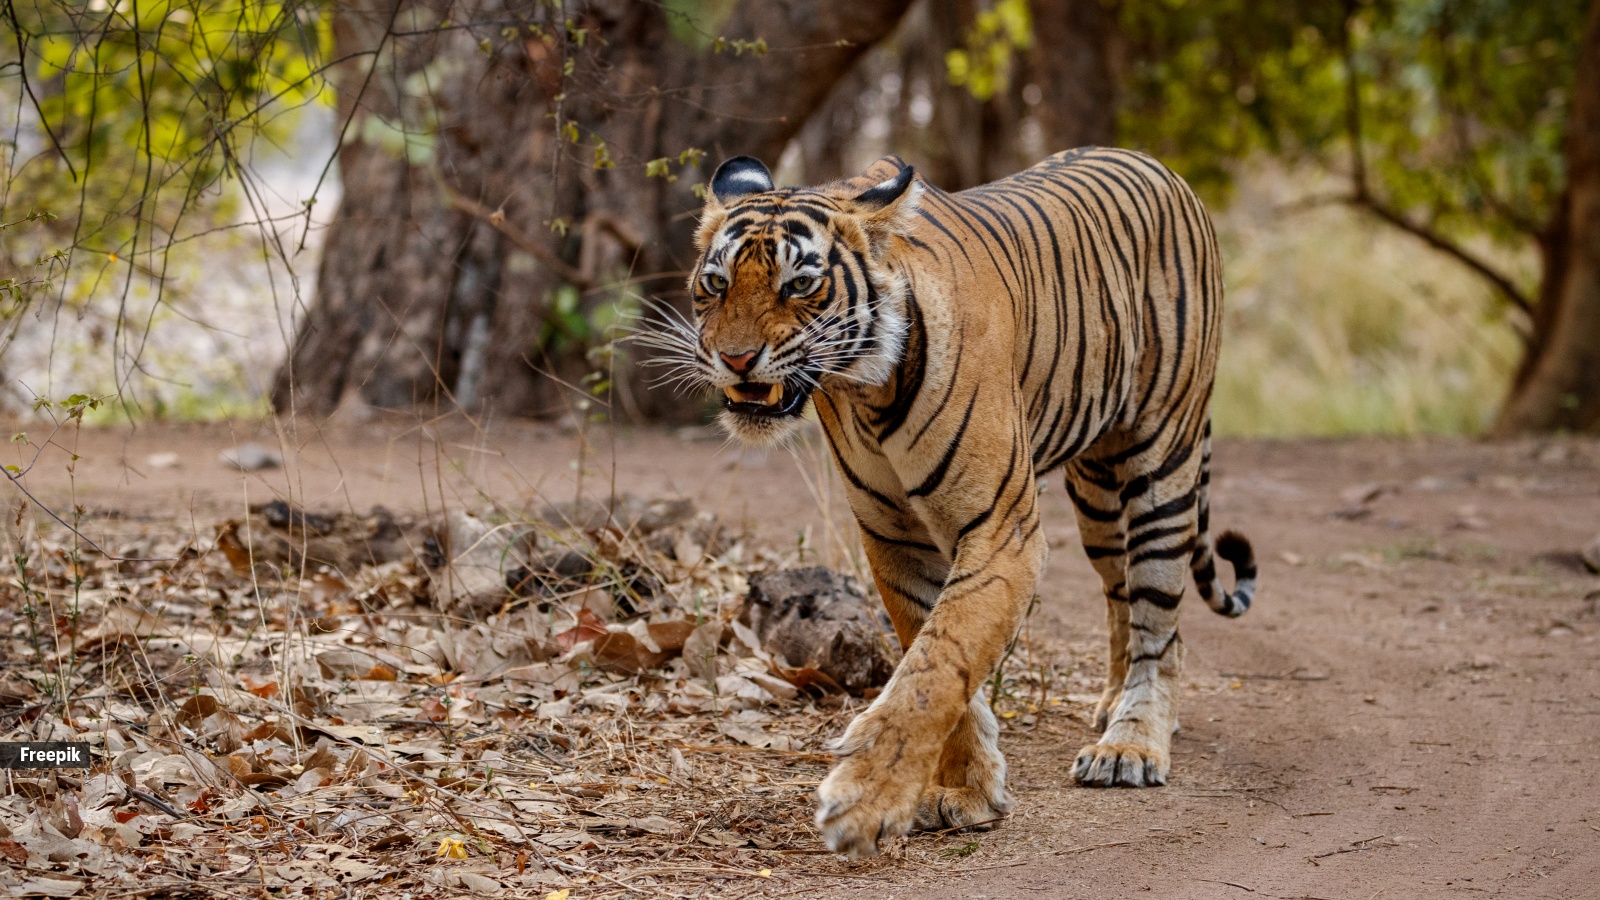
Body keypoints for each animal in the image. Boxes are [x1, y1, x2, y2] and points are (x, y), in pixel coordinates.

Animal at [645, 147, 1258, 859]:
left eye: (798, 285)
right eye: (715, 283)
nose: (736, 358)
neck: (866, 391)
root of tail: (1157, 164)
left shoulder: (1002, 530)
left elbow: (939, 664)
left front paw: (866, 800)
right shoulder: (895, 538)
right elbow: (932, 650)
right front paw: (967, 789)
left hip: (1161, 461)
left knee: (1159, 613)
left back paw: (1131, 745)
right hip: (1098, 495)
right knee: (1122, 597)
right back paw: (1112, 705)